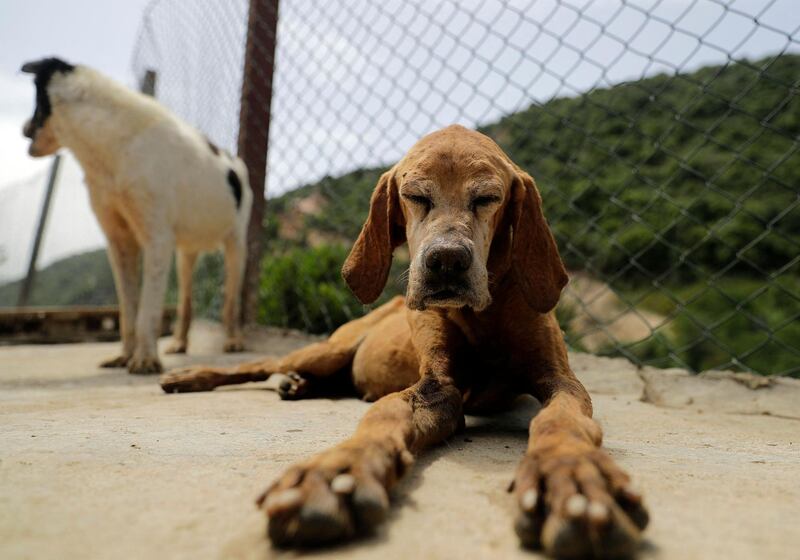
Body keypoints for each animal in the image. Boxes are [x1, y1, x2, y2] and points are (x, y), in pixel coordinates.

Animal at [21, 57, 252, 374]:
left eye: (36, 102)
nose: (23, 130)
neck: (112, 150)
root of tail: (235, 160)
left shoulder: (157, 239)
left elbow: (147, 311)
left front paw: (144, 360)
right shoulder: (120, 242)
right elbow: (128, 311)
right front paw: (125, 357)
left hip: (235, 245)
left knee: (231, 300)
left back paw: (233, 340)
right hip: (185, 255)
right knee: (186, 302)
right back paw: (179, 343)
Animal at [159, 127, 648, 560]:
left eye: (487, 198)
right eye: (416, 197)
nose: (446, 262)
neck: (482, 314)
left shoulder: (562, 380)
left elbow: (559, 421)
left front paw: (574, 478)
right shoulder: (438, 385)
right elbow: (386, 412)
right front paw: (338, 471)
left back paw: (299, 385)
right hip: (327, 348)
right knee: (258, 364)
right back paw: (192, 375)